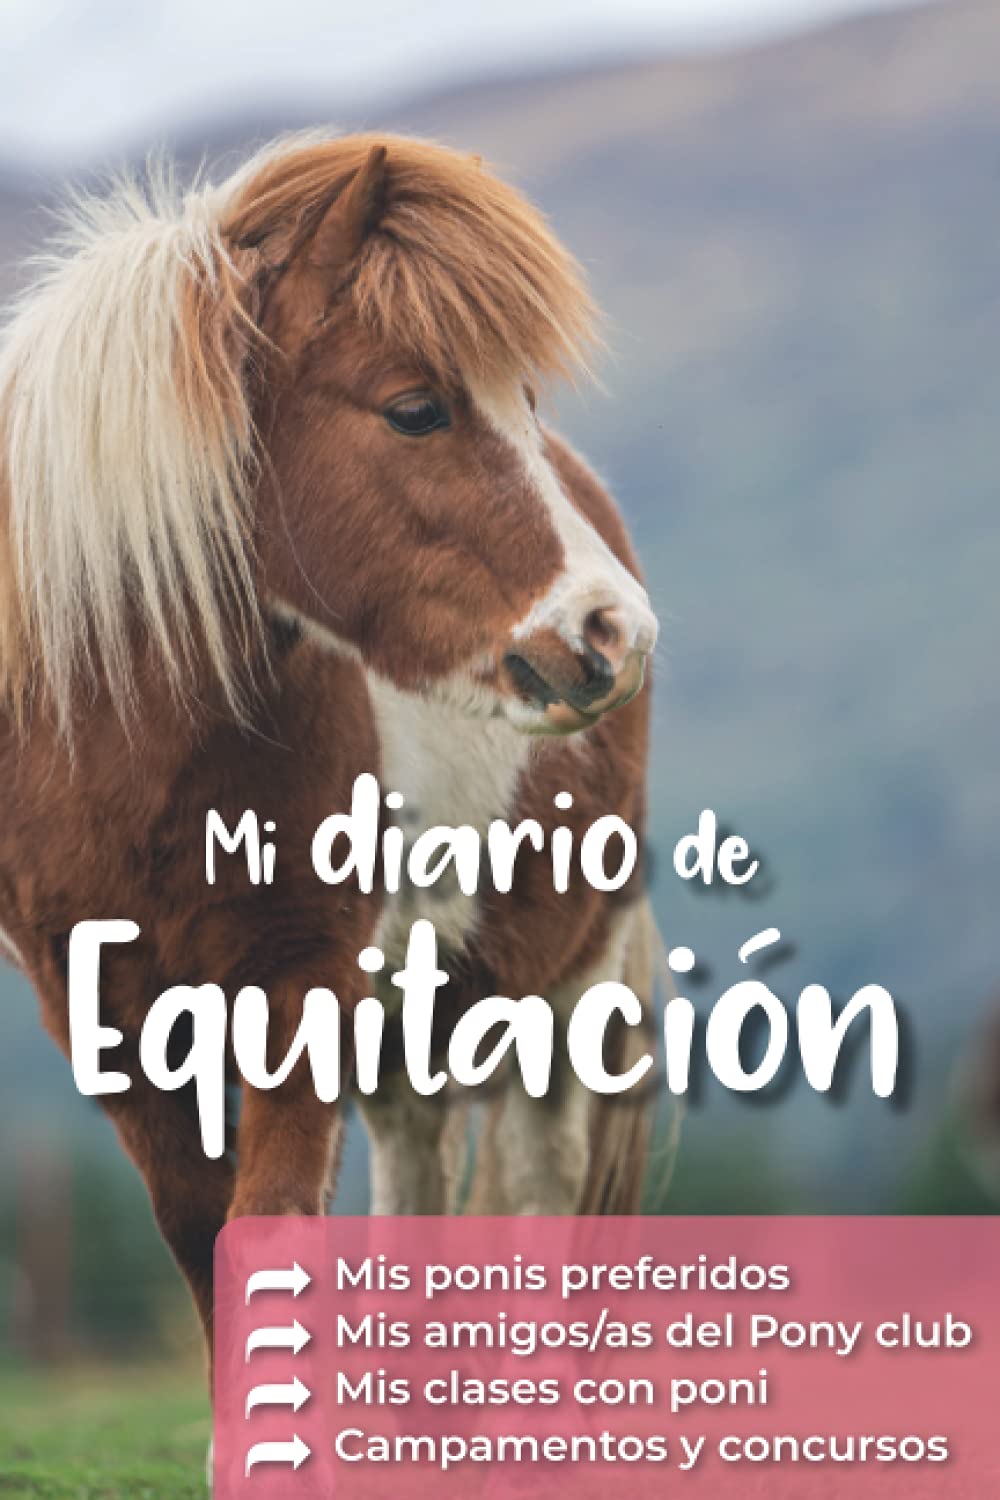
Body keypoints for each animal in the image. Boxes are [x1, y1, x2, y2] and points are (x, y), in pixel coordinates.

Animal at [0, 132, 668, 1368]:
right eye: (414, 409)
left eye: (521, 400)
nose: (613, 631)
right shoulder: (107, 1007)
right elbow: (203, 1234)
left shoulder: (301, 972)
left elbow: (270, 1222)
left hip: (562, 986)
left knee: (538, 1203)